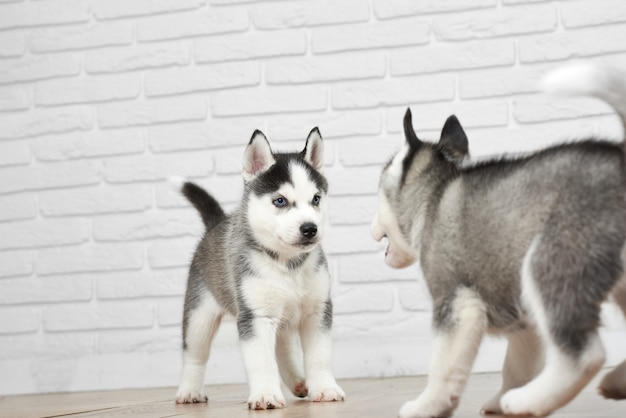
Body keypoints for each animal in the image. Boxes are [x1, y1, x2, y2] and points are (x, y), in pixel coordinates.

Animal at [173, 127, 344, 408]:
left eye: (316, 199)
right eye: (280, 201)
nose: (310, 228)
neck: (288, 264)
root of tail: (216, 225)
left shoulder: (317, 311)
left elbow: (319, 356)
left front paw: (325, 388)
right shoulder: (255, 317)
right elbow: (262, 361)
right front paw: (265, 395)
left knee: (283, 347)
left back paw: (298, 381)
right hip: (199, 316)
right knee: (194, 354)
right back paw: (189, 391)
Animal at [368, 62, 624, 418]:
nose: (370, 228)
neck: (433, 196)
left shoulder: (457, 305)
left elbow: (442, 365)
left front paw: (427, 404)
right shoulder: (524, 323)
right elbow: (516, 366)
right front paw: (499, 398)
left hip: (553, 259)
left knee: (584, 354)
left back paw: (529, 400)